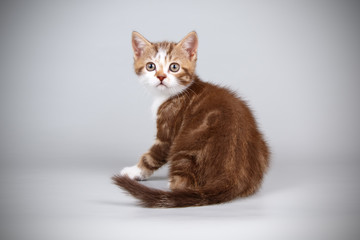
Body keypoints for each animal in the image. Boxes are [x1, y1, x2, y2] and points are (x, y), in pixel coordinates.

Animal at [112, 31, 270, 207]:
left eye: (174, 67)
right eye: (150, 66)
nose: (161, 76)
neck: (169, 95)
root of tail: (231, 178)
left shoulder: (167, 134)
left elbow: (152, 156)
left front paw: (134, 171)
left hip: (185, 147)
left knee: (183, 184)